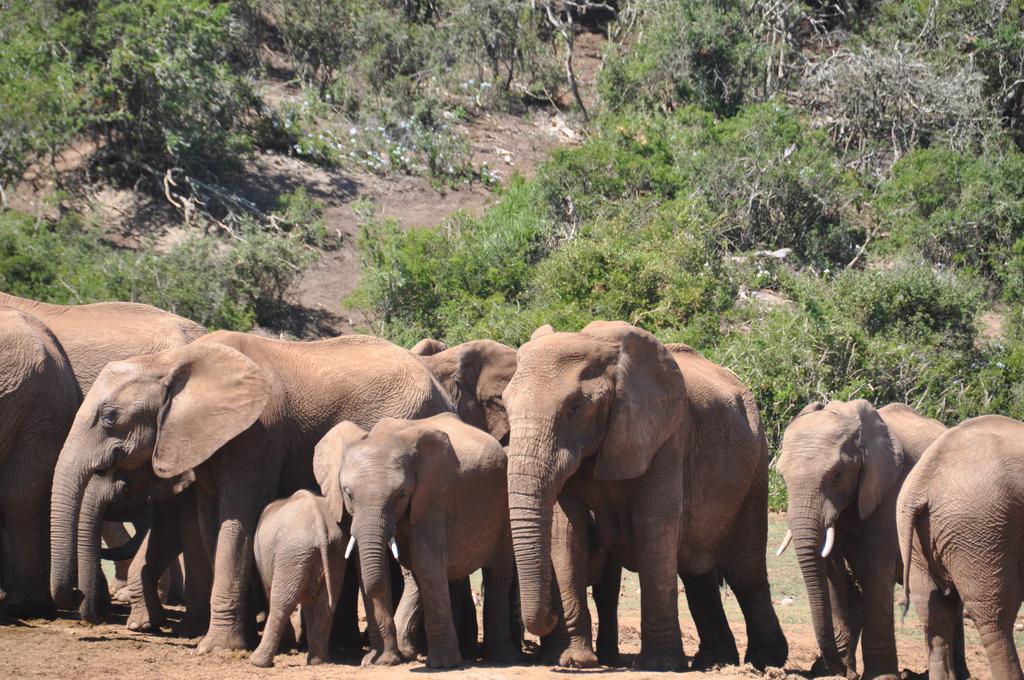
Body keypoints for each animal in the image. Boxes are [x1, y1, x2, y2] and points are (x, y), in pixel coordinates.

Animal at [247, 489, 348, 667]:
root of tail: (320, 526)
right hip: (335, 553)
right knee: (325, 604)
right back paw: (317, 661)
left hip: (291, 554)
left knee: (281, 604)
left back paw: (257, 661)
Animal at [313, 411, 520, 667]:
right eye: (348, 493)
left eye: (400, 495)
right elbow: (368, 564)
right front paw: (380, 662)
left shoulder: (433, 496)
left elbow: (427, 560)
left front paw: (442, 665)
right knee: (418, 576)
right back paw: (409, 651)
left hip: (504, 508)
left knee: (497, 574)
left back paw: (502, 657)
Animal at [501, 321, 782, 671]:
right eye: (505, 407)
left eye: (575, 410)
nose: (550, 616)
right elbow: (565, 533)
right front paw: (572, 660)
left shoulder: (666, 436)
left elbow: (654, 527)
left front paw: (660, 664)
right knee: (697, 572)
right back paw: (715, 661)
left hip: (756, 465)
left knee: (745, 570)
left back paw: (765, 662)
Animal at [774, 401, 950, 675]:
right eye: (782, 477)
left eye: (837, 475)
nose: (835, 669)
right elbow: (831, 567)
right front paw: (838, 673)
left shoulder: (891, 488)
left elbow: (877, 566)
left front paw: (881, 676)